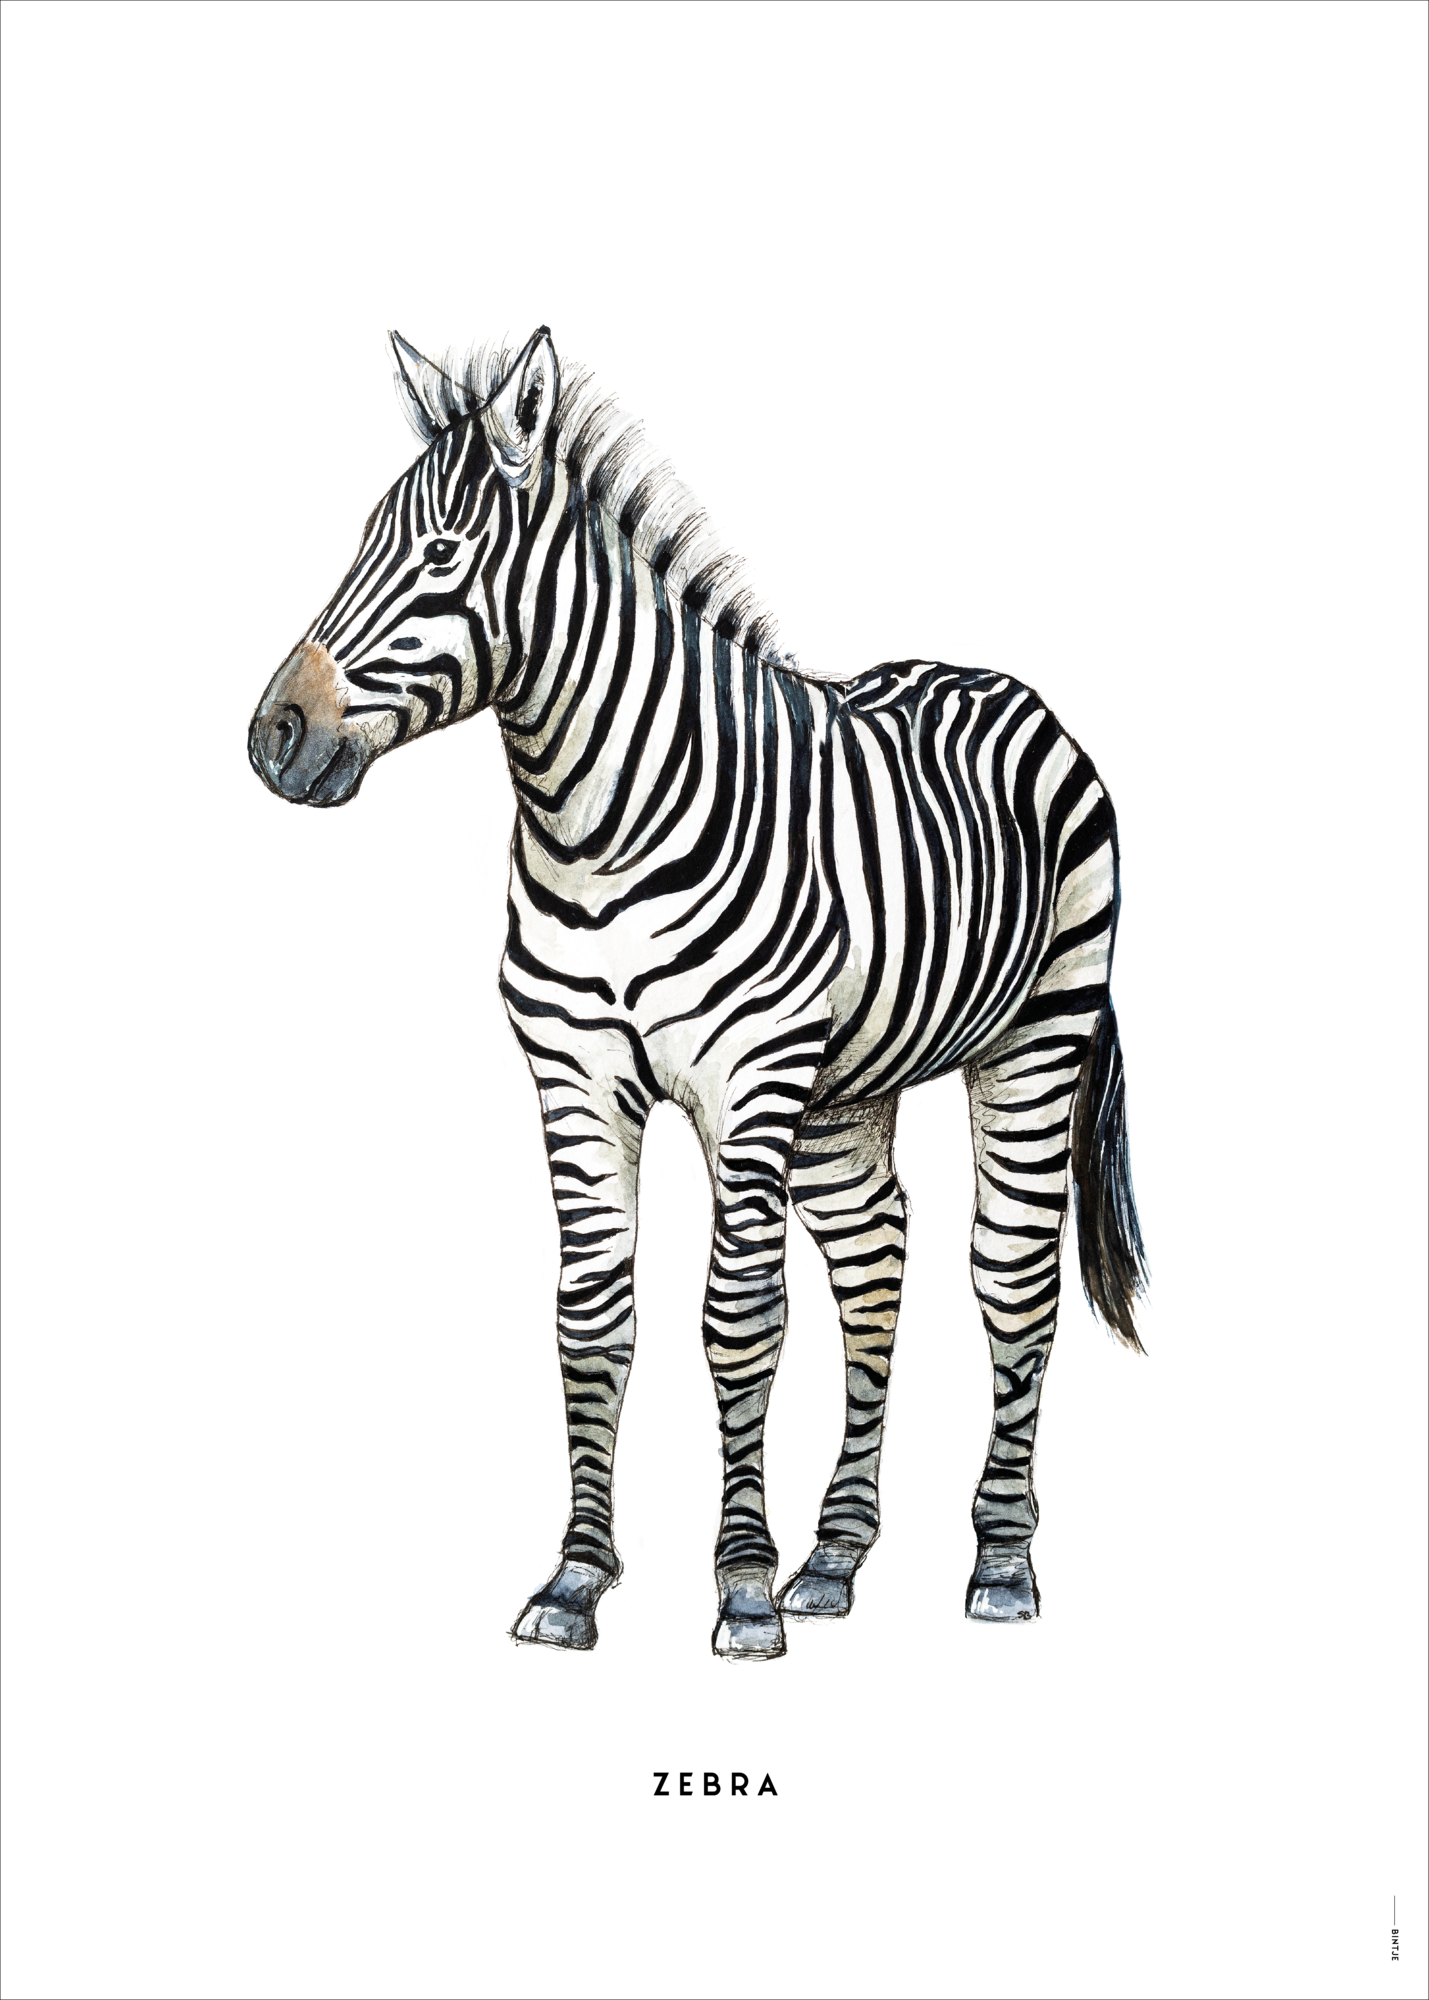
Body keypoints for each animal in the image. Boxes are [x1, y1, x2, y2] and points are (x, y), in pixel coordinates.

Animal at [248, 326, 1147, 1660]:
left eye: (442, 555)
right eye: (360, 542)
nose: (273, 737)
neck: (599, 827)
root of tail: (999, 683)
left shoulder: (745, 1085)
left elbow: (741, 1319)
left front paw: (741, 1585)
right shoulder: (575, 1077)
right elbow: (590, 1316)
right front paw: (577, 1578)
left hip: (1035, 1038)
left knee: (1010, 1274)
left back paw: (997, 1562)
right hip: (846, 1087)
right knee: (876, 1259)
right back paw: (835, 1556)